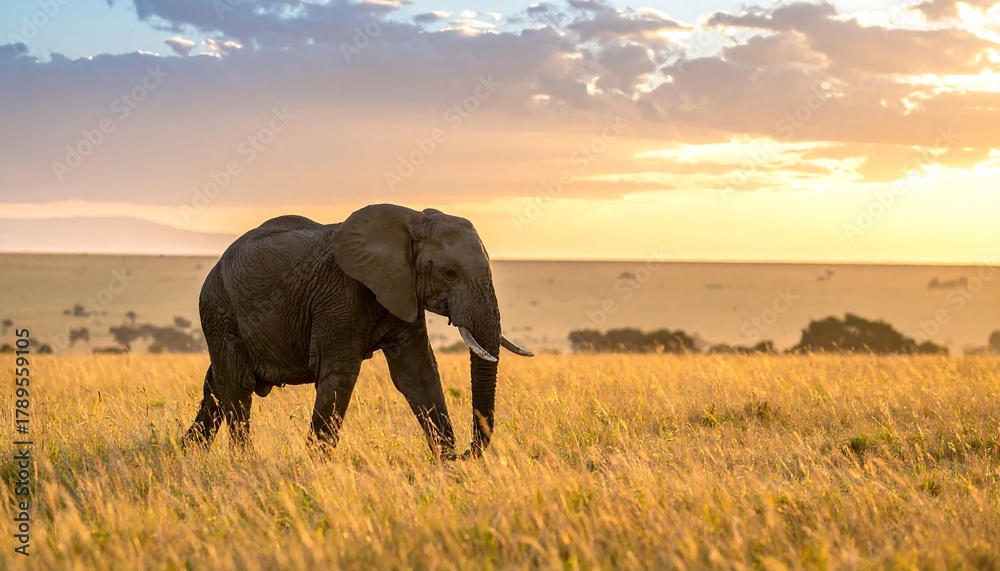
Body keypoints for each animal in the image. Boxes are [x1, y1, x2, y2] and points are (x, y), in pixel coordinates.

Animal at [182, 204, 532, 459]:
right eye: (449, 273)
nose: (464, 452)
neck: (413, 220)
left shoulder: (401, 290)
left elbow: (418, 373)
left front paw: (446, 467)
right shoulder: (341, 294)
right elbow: (339, 376)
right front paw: (313, 468)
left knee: (216, 383)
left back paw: (184, 452)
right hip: (220, 309)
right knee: (237, 385)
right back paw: (245, 463)